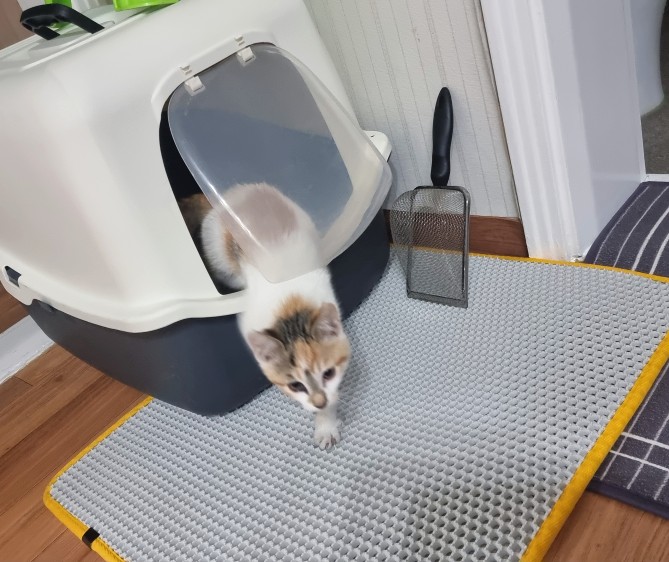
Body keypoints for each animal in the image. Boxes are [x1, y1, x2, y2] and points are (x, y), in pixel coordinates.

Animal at [179, 183, 350, 449]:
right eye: (295, 385)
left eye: (329, 373)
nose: (319, 402)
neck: (290, 306)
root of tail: (236, 192)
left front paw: (326, 424)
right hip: (220, 253)